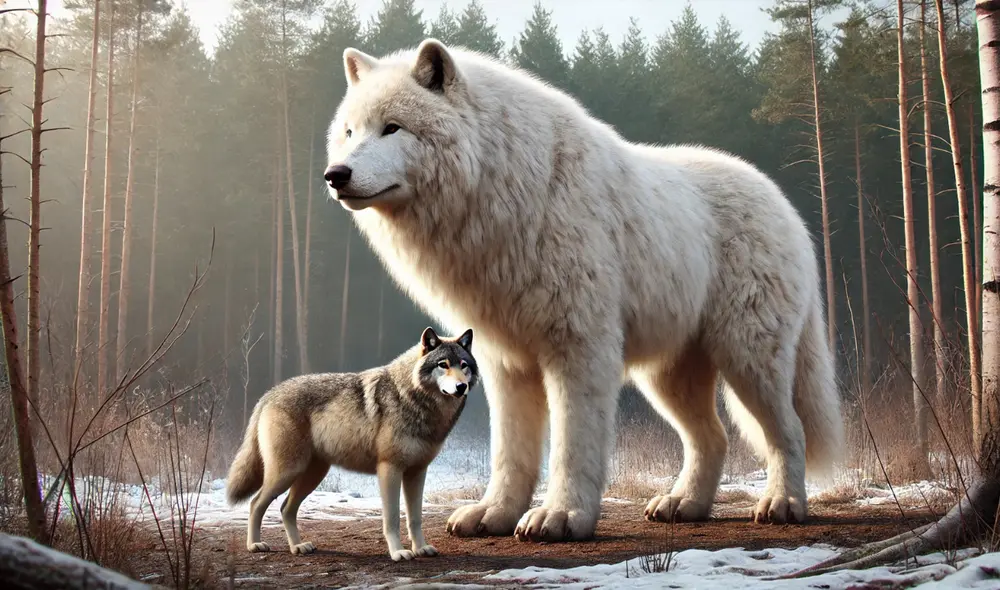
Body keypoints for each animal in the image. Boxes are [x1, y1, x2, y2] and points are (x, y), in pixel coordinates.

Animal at [225, 327, 478, 561]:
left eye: (463, 365)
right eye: (443, 364)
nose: (461, 387)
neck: (415, 399)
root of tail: (269, 394)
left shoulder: (417, 473)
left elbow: (415, 518)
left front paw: (421, 548)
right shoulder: (389, 470)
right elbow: (392, 518)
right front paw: (398, 552)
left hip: (311, 475)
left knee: (286, 508)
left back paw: (298, 547)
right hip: (286, 473)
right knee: (255, 503)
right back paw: (255, 545)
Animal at [322, 38, 845, 543]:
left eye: (392, 128)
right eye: (349, 131)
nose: (335, 175)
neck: (509, 190)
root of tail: (786, 206)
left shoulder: (579, 349)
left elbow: (572, 446)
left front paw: (560, 517)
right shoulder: (503, 361)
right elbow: (510, 452)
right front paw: (494, 514)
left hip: (748, 360)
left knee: (789, 430)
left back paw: (783, 504)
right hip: (667, 376)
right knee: (712, 438)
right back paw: (683, 505)